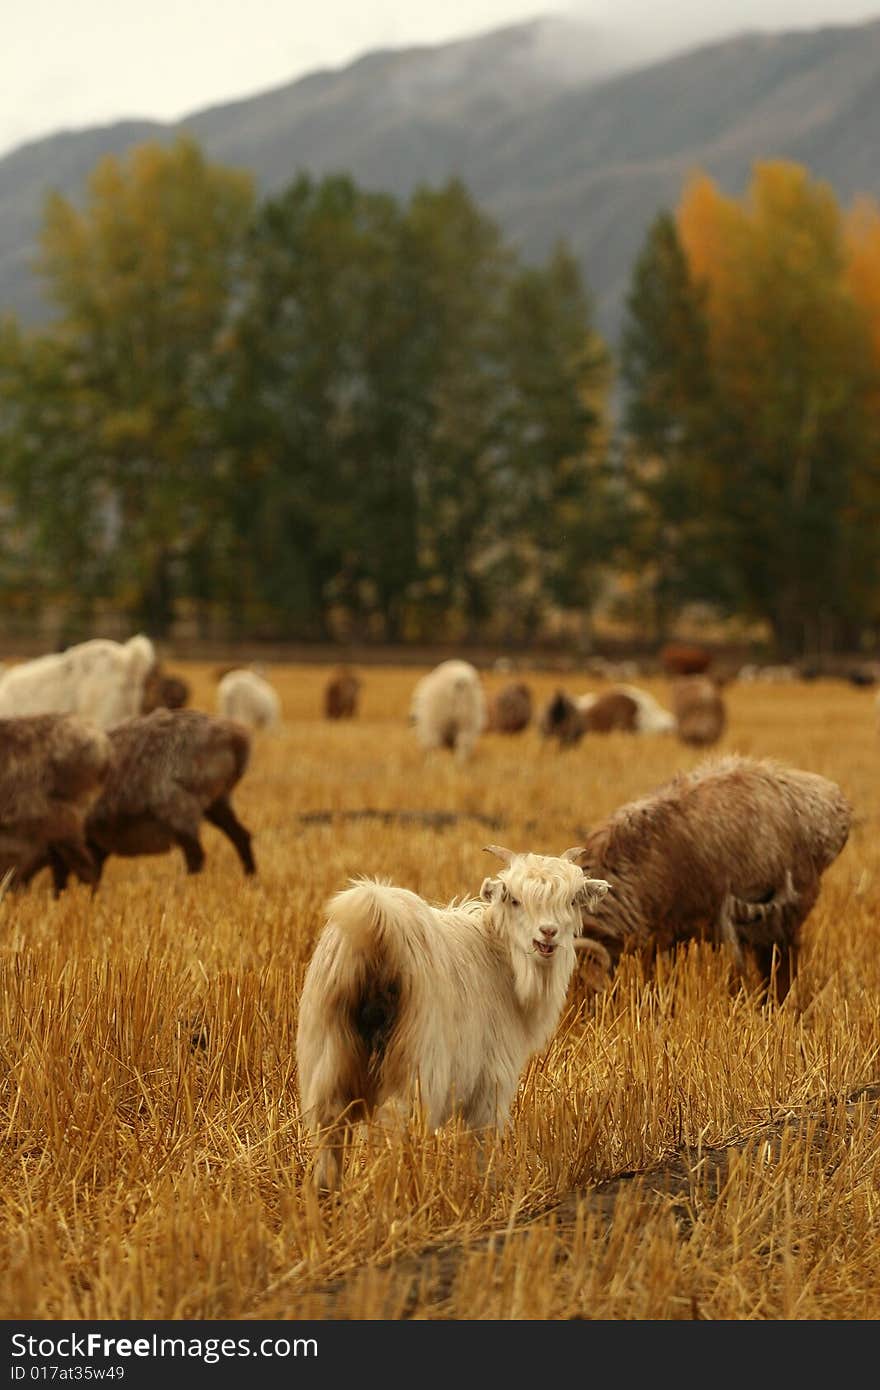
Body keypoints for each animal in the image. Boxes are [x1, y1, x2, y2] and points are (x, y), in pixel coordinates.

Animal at [49, 706, 254, 889]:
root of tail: (235, 738)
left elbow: (82, 872)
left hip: (180, 809)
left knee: (196, 854)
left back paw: (188, 888)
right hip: (217, 802)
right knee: (241, 836)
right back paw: (250, 880)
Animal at [294, 839, 611, 1189]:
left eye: (571, 900)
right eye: (514, 899)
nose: (548, 933)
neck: (500, 957)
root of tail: (378, 926)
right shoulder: (491, 1080)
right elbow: (482, 1143)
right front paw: (488, 1189)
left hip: (329, 1057)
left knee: (330, 1128)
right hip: (415, 1066)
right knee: (391, 1127)